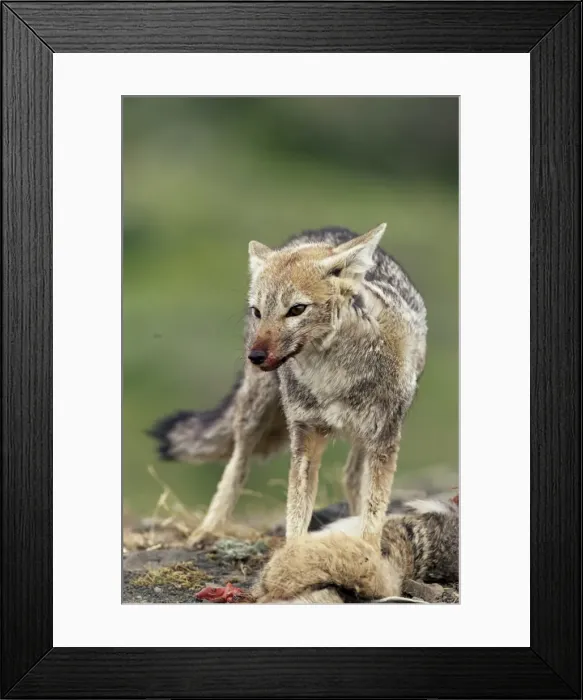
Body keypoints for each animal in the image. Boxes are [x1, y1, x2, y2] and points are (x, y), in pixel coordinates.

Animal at [150, 224, 427, 549]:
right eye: (258, 311)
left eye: (297, 309)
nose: (255, 356)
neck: (332, 376)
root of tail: (326, 230)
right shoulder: (305, 438)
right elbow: (295, 515)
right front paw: (292, 556)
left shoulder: (383, 440)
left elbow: (374, 512)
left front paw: (367, 550)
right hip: (254, 412)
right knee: (237, 465)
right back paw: (208, 528)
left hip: (365, 437)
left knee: (351, 476)